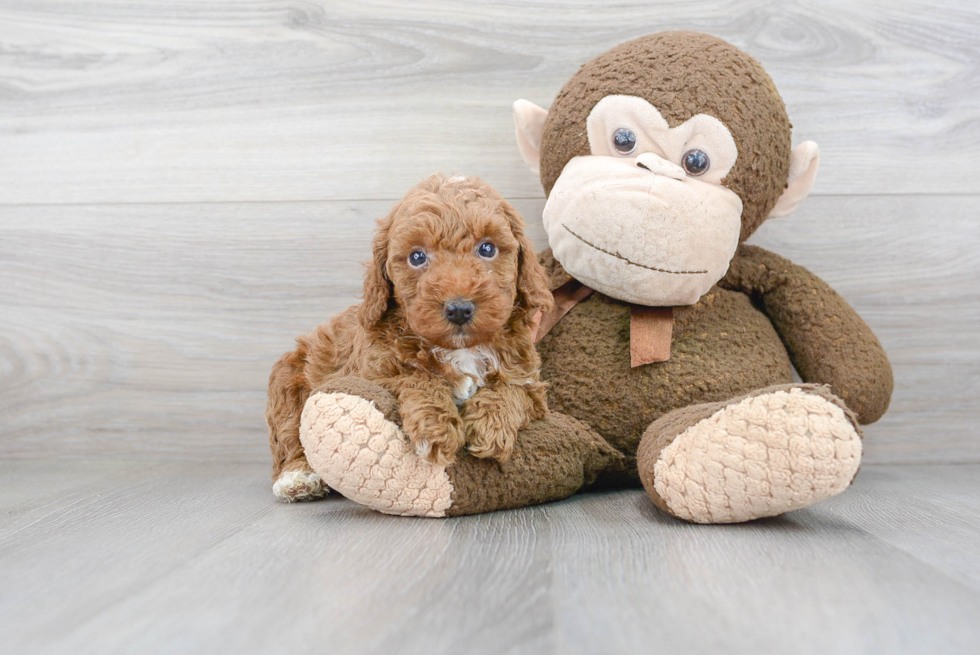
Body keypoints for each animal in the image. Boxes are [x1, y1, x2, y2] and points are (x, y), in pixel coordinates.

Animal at [264, 174, 556, 502]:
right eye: (417, 256)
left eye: (487, 249)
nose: (458, 309)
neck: (460, 349)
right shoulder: (373, 373)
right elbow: (417, 378)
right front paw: (435, 429)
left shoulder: (529, 381)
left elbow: (510, 390)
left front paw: (491, 426)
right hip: (287, 385)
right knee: (290, 436)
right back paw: (297, 478)